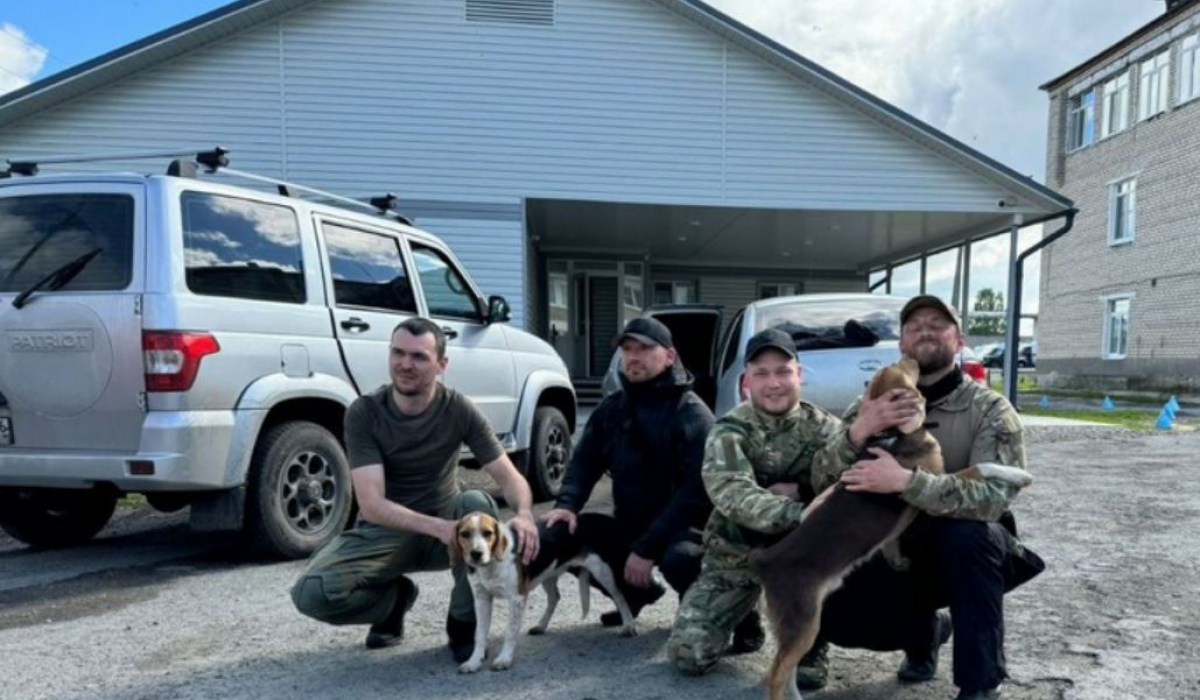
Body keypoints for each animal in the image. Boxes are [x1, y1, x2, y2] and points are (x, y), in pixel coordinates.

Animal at [451, 513, 638, 672]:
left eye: (488, 533)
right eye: (465, 534)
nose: (476, 554)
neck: (490, 566)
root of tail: (588, 517)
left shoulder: (516, 599)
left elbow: (510, 631)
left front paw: (504, 659)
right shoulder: (481, 599)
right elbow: (480, 634)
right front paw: (474, 661)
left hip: (603, 572)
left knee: (620, 597)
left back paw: (628, 625)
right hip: (548, 575)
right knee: (555, 598)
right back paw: (541, 625)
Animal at [753, 362, 940, 700]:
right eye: (902, 366)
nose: (914, 360)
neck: (890, 435)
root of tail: (765, 562)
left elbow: (893, 541)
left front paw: (898, 561)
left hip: (792, 627)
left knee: (787, 672)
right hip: (803, 623)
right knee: (775, 677)